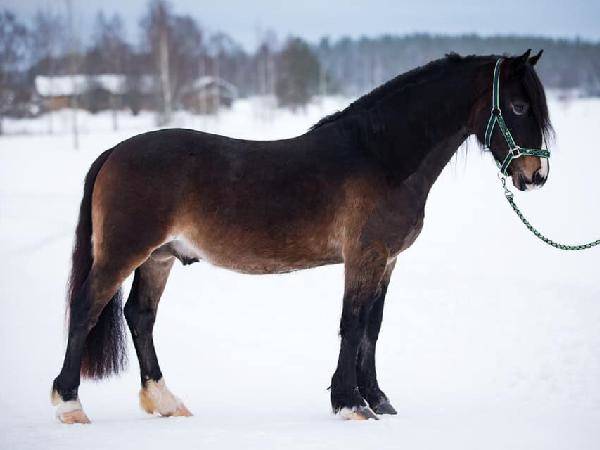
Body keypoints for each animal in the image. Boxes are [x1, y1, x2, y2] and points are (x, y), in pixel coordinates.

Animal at [51, 50, 551, 423]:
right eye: (519, 106)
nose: (535, 175)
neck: (380, 156)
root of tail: (115, 151)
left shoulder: (387, 261)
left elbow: (372, 327)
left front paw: (378, 400)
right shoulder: (364, 256)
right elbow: (352, 324)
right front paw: (350, 404)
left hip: (158, 257)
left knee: (140, 316)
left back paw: (165, 402)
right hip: (123, 253)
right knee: (87, 308)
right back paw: (70, 404)